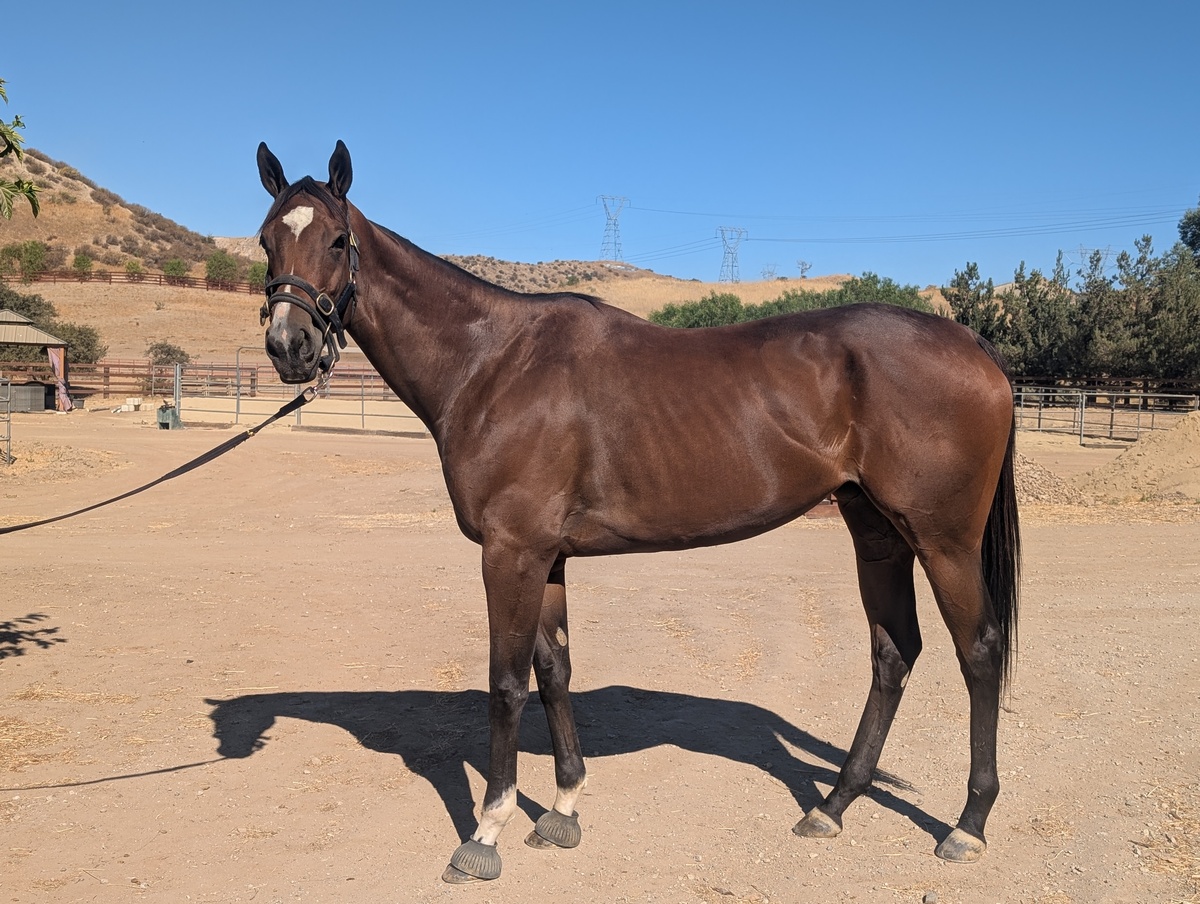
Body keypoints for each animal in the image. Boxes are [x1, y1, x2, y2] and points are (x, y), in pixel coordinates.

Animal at [253, 140, 1020, 883]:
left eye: (336, 240)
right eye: (266, 240)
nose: (289, 347)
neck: (491, 361)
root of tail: (970, 343)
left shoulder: (510, 553)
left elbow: (505, 685)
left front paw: (486, 832)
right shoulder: (547, 557)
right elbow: (554, 671)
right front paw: (562, 809)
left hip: (943, 541)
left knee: (979, 652)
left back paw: (968, 825)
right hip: (877, 534)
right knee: (894, 653)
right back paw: (831, 807)